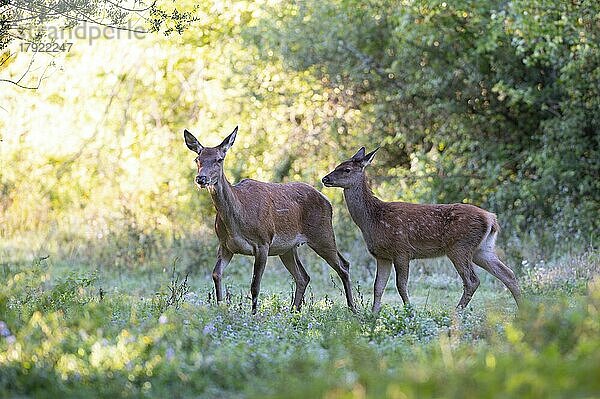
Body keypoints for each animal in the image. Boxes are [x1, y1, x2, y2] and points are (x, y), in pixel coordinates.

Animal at [185, 126, 354, 314]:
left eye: (219, 159)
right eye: (197, 159)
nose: (201, 179)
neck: (237, 221)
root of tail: (327, 201)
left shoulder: (263, 242)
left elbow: (255, 286)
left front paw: (253, 315)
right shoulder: (225, 245)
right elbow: (216, 274)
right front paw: (221, 308)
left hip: (322, 233)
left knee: (343, 265)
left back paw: (352, 308)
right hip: (288, 248)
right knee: (303, 276)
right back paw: (293, 312)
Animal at [322, 147, 524, 312]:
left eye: (346, 169)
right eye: (338, 165)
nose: (325, 178)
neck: (373, 220)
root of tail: (491, 219)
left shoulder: (402, 250)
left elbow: (401, 285)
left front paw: (410, 311)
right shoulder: (382, 255)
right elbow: (378, 287)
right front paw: (373, 316)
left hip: (459, 246)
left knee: (472, 281)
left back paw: (456, 312)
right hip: (482, 249)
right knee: (508, 274)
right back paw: (523, 310)